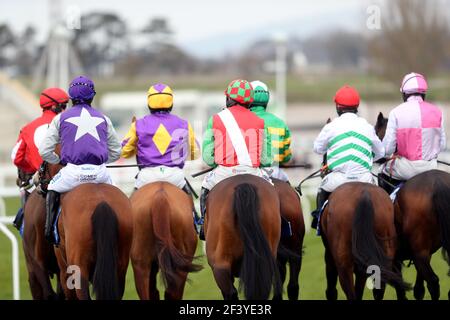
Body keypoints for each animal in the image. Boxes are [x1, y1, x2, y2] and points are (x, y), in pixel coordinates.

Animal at [374, 112, 448, 300]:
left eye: (376, 133)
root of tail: (437, 183)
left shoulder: (394, 257)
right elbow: (418, 290)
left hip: (419, 251)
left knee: (434, 281)